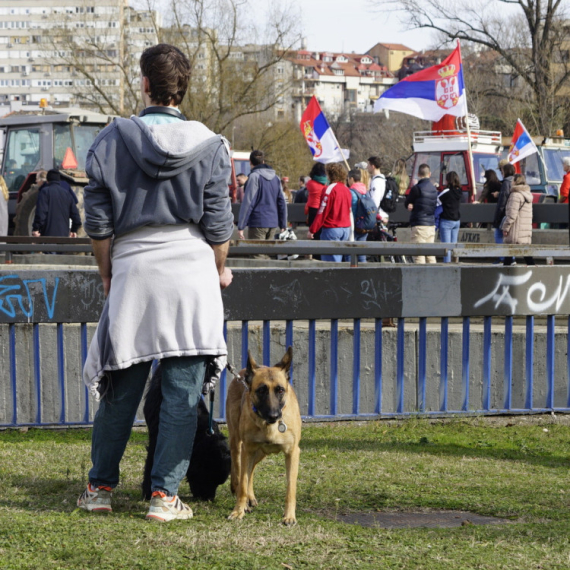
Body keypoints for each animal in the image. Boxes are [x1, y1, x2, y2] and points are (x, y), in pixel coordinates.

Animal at [224, 346, 300, 524]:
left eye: (280, 390)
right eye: (261, 390)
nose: (274, 416)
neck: (268, 426)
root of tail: (242, 373)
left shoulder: (292, 453)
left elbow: (290, 488)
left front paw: (289, 516)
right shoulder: (247, 450)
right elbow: (243, 484)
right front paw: (238, 511)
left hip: (260, 453)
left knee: (250, 471)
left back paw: (250, 498)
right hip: (239, 445)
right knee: (239, 472)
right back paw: (241, 496)